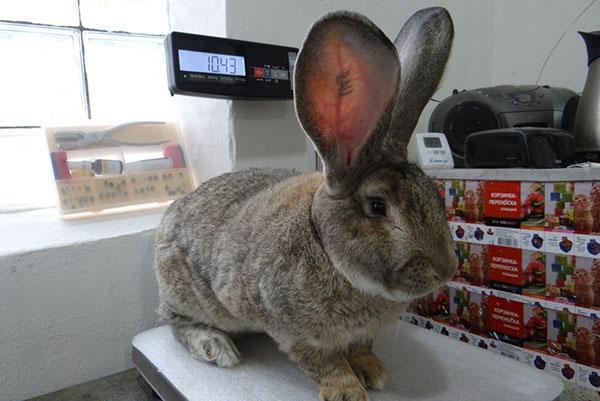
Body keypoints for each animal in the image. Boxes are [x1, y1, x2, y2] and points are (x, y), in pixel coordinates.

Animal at [154, 7, 454, 400]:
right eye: (377, 206)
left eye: (435, 194)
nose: (446, 271)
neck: (326, 247)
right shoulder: (296, 333)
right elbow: (325, 363)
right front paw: (348, 392)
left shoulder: (360, 334)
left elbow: (361, 348)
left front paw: (373, 372)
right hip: (189, 295)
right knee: (175, 322)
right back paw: (216, 347)